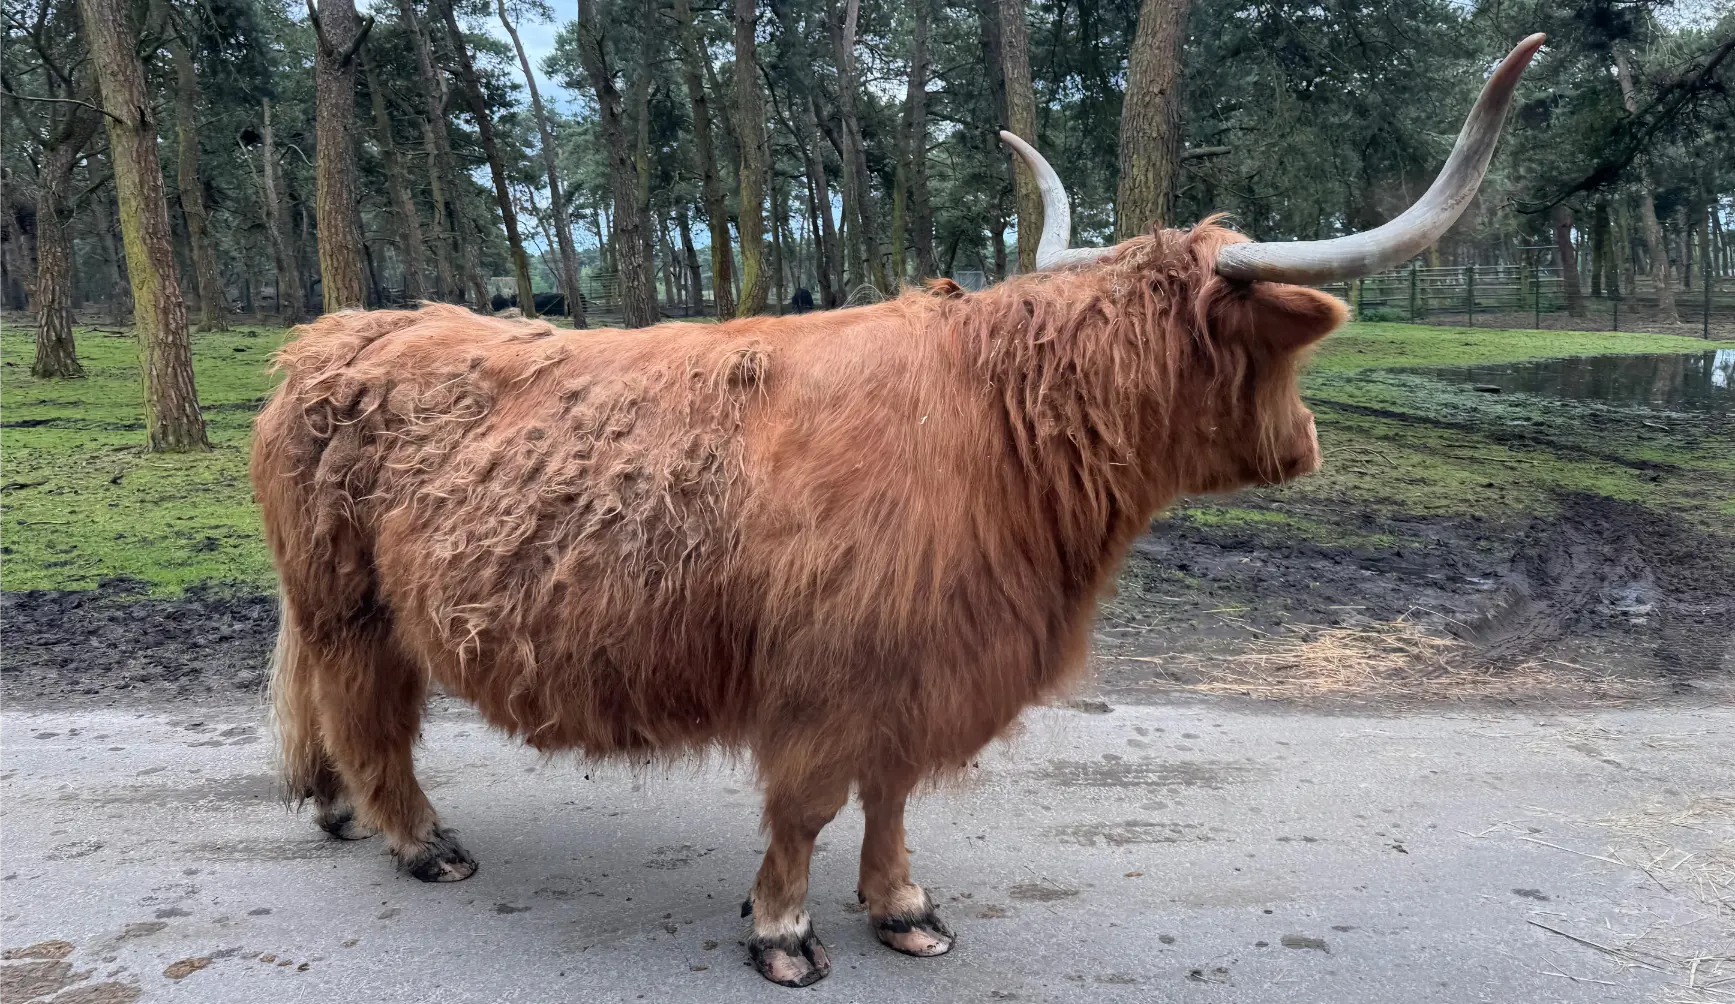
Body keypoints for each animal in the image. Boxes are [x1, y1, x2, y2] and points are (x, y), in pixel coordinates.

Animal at [251, 35, 1541, 989]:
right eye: (1275, 352)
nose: (1307, 444)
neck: (1004, 438)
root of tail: (334, 335)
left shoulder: (917, 665)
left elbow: (890, 794)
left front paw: (903, 906)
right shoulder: (828, 674)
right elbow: (808, 805)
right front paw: (782, 930)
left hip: (334, 603)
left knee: (325, 703)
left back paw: (335, 808)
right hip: (353, 607)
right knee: (372, 718)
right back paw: (422, 841)